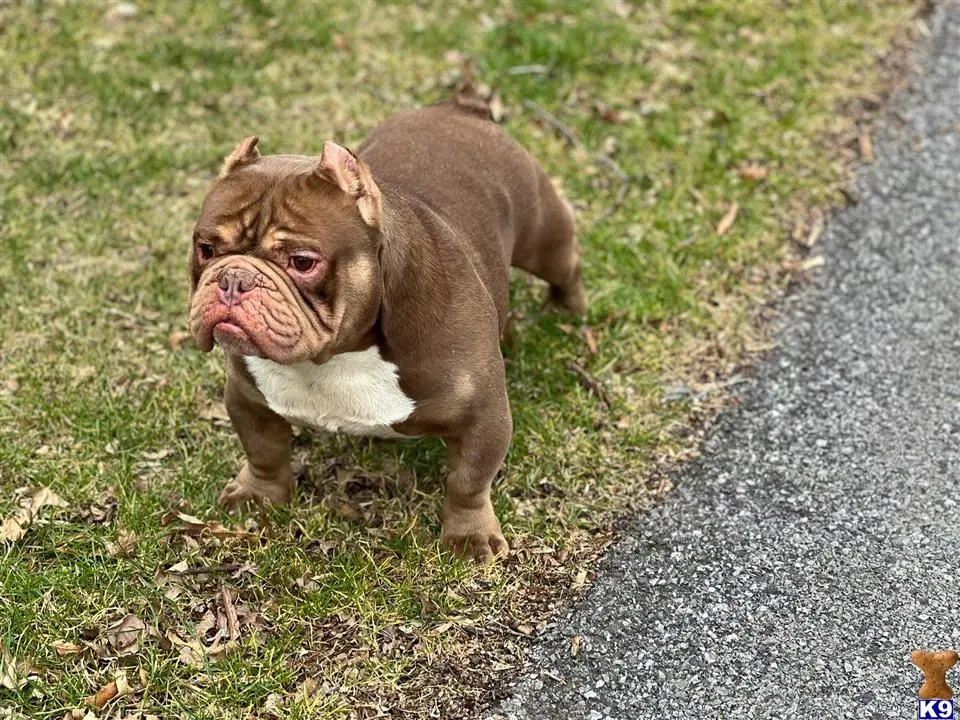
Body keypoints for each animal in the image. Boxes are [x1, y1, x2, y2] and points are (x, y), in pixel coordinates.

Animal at [188, 88, 584, 564]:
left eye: (302, 262)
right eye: (206, 249)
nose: (233, 278)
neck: (337, 354)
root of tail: (460, 107)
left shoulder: (482, 416)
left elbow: (469, 481)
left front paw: (469, 537)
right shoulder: (249, 397)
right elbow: (264, 451)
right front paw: (257, 496)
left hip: (542, 233)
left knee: (566, 264)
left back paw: (568, 310)